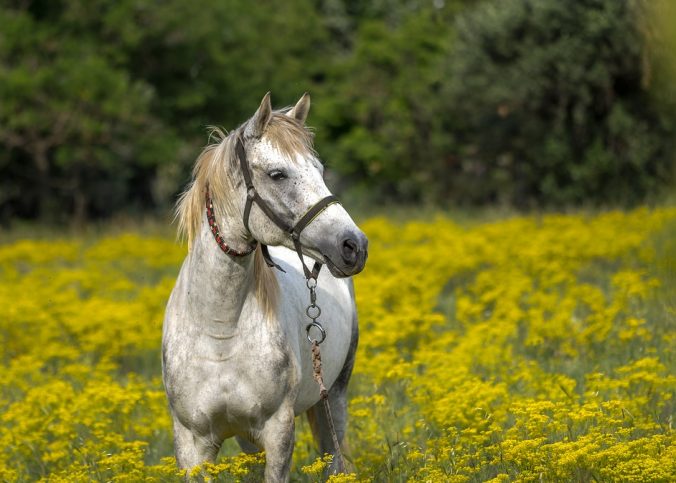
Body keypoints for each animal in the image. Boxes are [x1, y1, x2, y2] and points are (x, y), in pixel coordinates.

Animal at [162, 92, 368, 482]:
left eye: (319, 171)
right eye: (277, 174)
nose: (354, 245)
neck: (220, 330)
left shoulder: (277, 432)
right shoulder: (192, 443)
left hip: (333, 398)